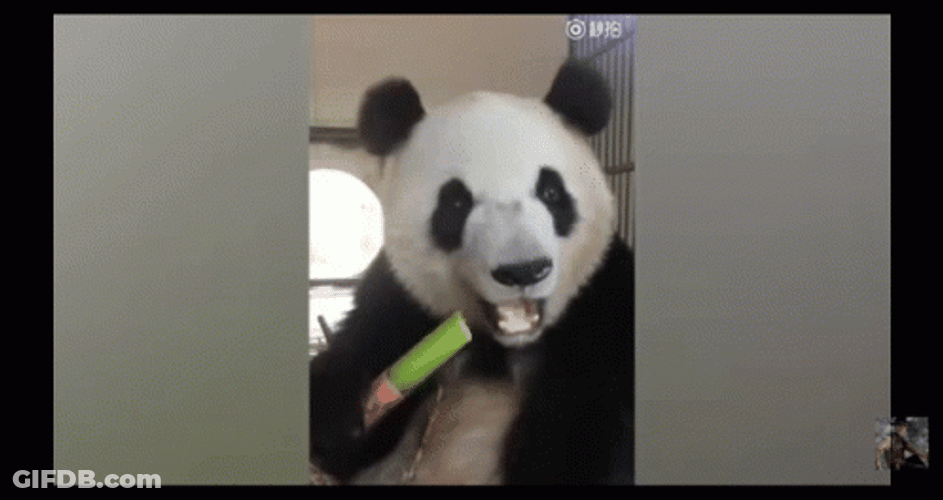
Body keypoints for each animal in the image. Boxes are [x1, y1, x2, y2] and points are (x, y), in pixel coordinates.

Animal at [309, 60, 634, 485]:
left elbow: (585, 428)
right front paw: (336, 413)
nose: (523, 270)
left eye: (551, 193)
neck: (503, 344)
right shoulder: (404, 299)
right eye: (456, 202)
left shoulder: (603, 306)